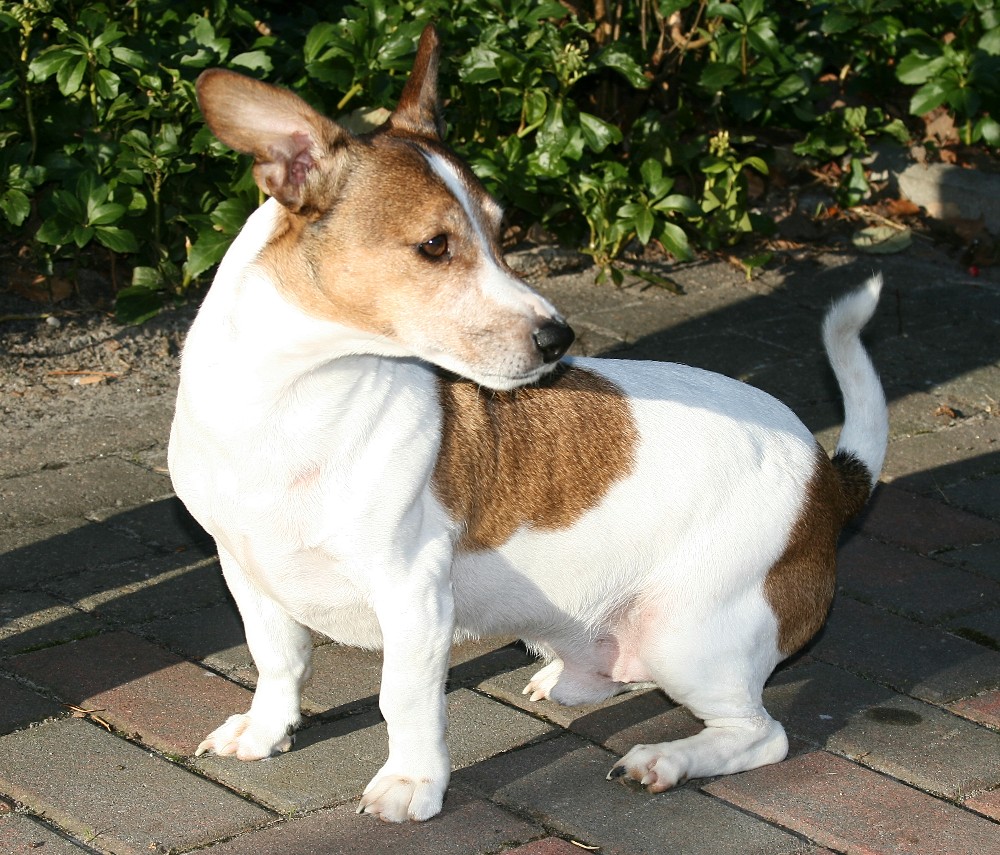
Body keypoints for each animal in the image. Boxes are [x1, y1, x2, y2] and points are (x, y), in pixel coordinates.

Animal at [168, 25, 888, 824]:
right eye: (436, 246)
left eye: (502, 230)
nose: (557, 338)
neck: (292, 398)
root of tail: (828, 477)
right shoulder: (246, 572)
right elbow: (278, 659)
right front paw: (265, 731)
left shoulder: (412, 593)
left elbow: (405, 698)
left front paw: (412, 781)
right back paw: (570, 677)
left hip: (691, 635)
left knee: (759, 733)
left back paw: (667, 758)